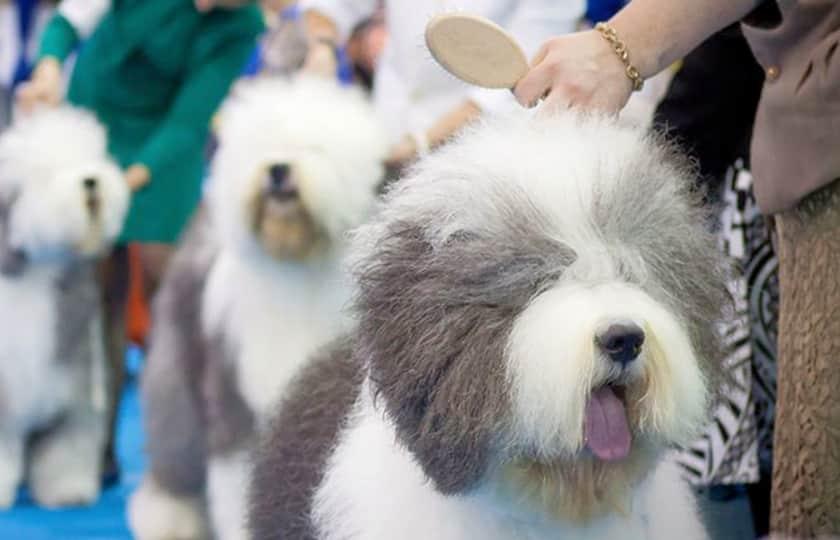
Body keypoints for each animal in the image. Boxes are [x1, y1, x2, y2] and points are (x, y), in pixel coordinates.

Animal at [0, 107, 128, 508]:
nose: (90, 181)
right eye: (46, 173)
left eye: (93, 157)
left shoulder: (73, 395)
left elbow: (68, 448)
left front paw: (67, 491)